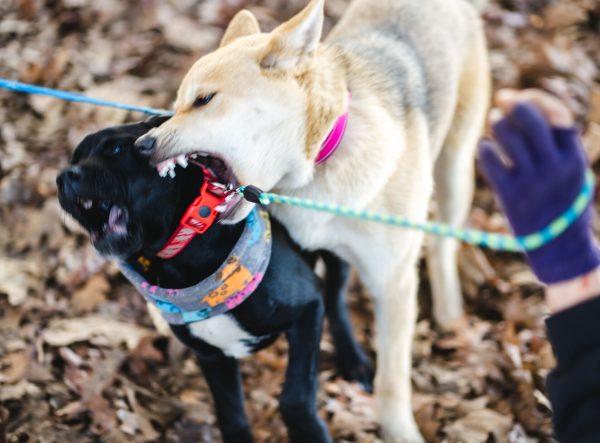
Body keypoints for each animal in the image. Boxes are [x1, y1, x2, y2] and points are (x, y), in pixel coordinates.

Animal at [57, 117, 376, 443]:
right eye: (74, 159)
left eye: (117, 149)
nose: (64, 176)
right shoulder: (212, 357)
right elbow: (230, 412)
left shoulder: (307, 310)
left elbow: (295, 395)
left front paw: (308, 431)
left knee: (335, 296)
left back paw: (354, 360)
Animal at [138, 1, 490, 442]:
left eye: (203, 100)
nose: (142, 145)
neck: (316, 171)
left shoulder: (392, 283)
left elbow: (392, 381)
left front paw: (398, 429)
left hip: (455, 170)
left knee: (443, 242)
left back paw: (447, 310)